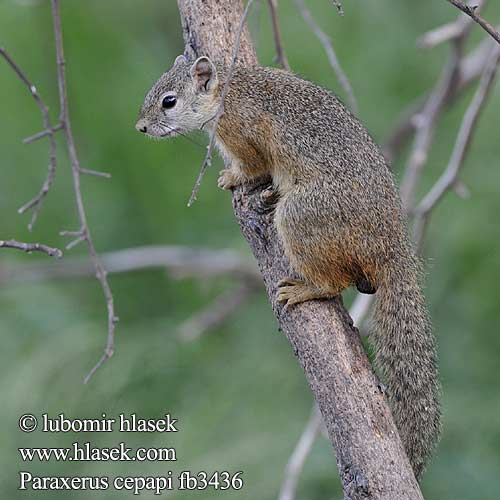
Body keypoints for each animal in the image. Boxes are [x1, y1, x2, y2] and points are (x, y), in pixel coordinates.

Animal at [137, 55, 442, 480]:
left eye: (169, 101)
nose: (141, 127)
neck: (231, 90)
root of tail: (392, 250)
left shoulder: (245, 133)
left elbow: (252, 166)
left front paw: (231, 176)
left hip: (302, 215)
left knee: (335, 282)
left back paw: (305, 288)